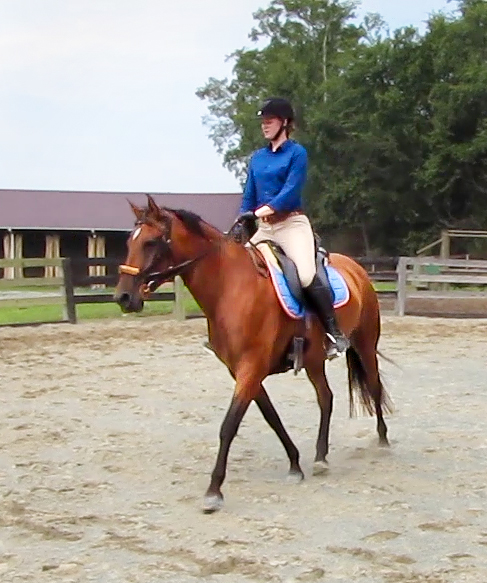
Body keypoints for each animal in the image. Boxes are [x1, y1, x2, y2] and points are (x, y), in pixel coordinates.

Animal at [113, 195, 392, 512]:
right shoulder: (243, 370)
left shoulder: (251, 367)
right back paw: (321, 457)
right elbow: (272, 417)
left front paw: (214, 491)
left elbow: (229, 425)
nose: (123, 297)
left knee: (373, 385)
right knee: (326, 398)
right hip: (313, 360)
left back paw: (383, 440)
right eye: (129, 241)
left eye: (151, 242)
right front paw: (295, 464)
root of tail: (357, 269)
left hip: (365, 344)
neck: (230, 287)